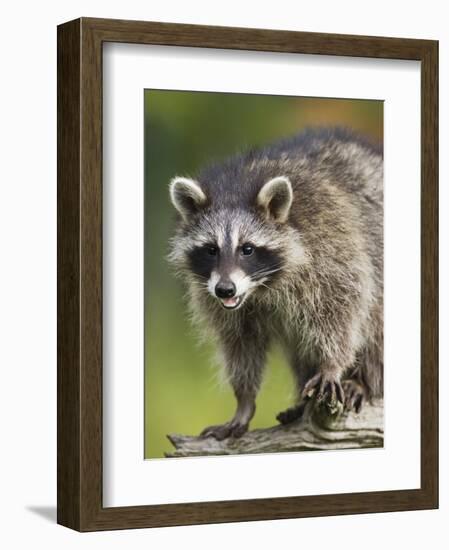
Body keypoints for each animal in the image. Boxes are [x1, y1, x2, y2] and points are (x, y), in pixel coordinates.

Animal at [167, 127, 382, 442]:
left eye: (247, 249)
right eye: (211, 250)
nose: (225, 290)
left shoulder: (332, 245)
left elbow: (344, 308)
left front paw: (332, 365)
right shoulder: (215, 296)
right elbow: (239, 343)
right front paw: (244, 400)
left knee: (375, 321)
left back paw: (364, 382)